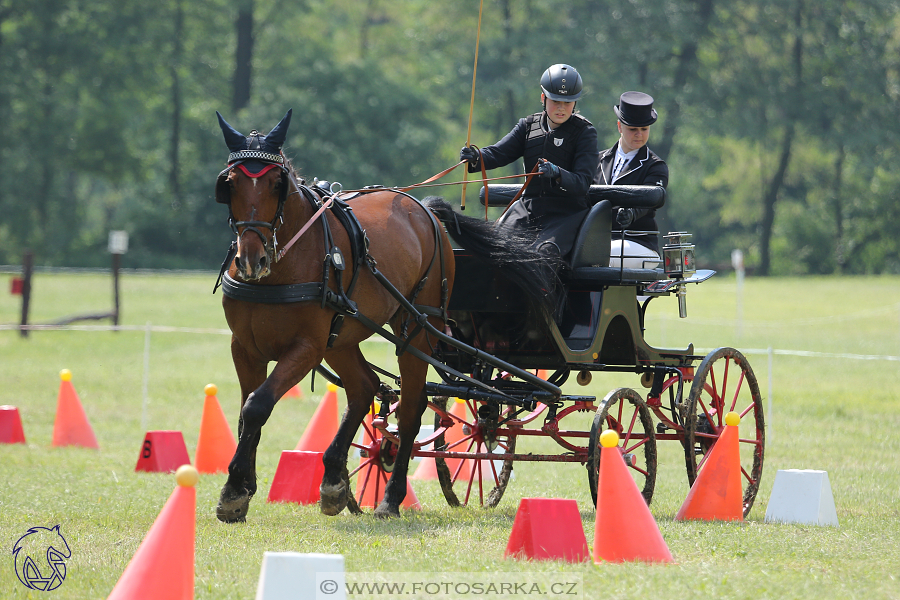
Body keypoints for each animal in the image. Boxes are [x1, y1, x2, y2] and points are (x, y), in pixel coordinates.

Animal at [215, 109, 560, 520]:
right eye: (231, 184)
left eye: (274, 184)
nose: (251, 259)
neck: (284, 264)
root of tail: (425, 209)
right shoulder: (244, 347)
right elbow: (246, 412)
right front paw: (241, 489)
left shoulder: (306, 348)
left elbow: (257, 405)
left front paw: (234, 490)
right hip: (343, 336)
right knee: (364, 388)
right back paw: (336, 481)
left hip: (416, 329)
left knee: (411, 408)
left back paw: (390, 498)